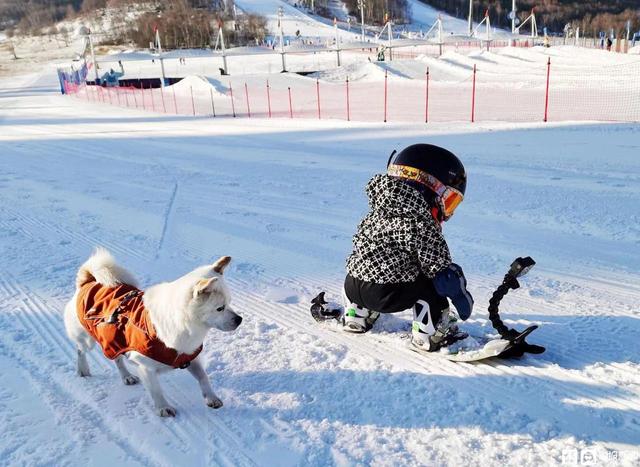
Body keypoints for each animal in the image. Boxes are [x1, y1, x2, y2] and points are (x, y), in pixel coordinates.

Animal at [63, 249, 242, 416]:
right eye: (219, 308)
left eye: (230, 303)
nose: (239, 319)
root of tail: (88, 281)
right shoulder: (146, 368)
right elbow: (156, 390)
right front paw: (163, 408)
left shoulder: (190, 357)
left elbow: (203, 377)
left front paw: (211, 397)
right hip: (88, 339)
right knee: (80, 350)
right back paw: (83, 370)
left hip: (112, 338)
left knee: (117, 359)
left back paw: (126, 376)